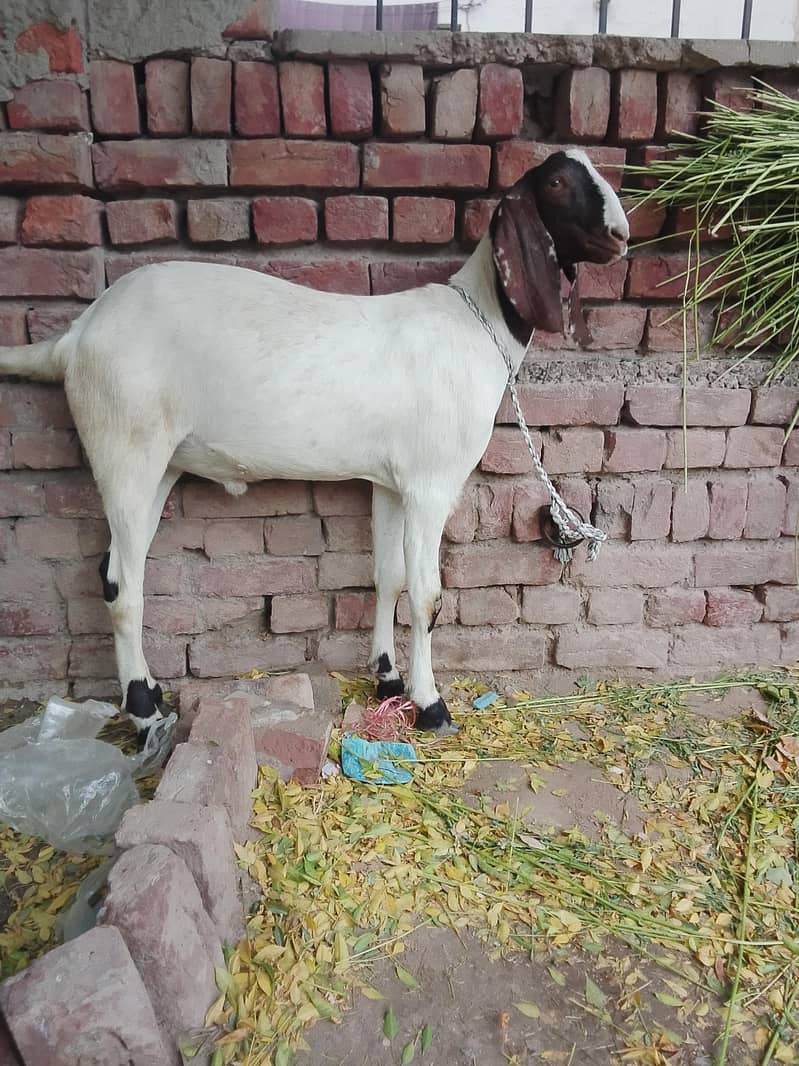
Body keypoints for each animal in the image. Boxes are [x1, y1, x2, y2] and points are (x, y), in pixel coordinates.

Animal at [0, 149, 628, 737]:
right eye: (556, 182)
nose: (621, 235)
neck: (477, 325)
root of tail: (75, 337)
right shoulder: (430, 486)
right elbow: (426, 594)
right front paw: (430, 705)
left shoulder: (391, 484)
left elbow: (388, 577)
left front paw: (386, 678)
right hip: (124, 449)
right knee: (123, 584)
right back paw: (144, 710)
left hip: (159, 465)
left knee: (114, 569)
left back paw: (151, 690)